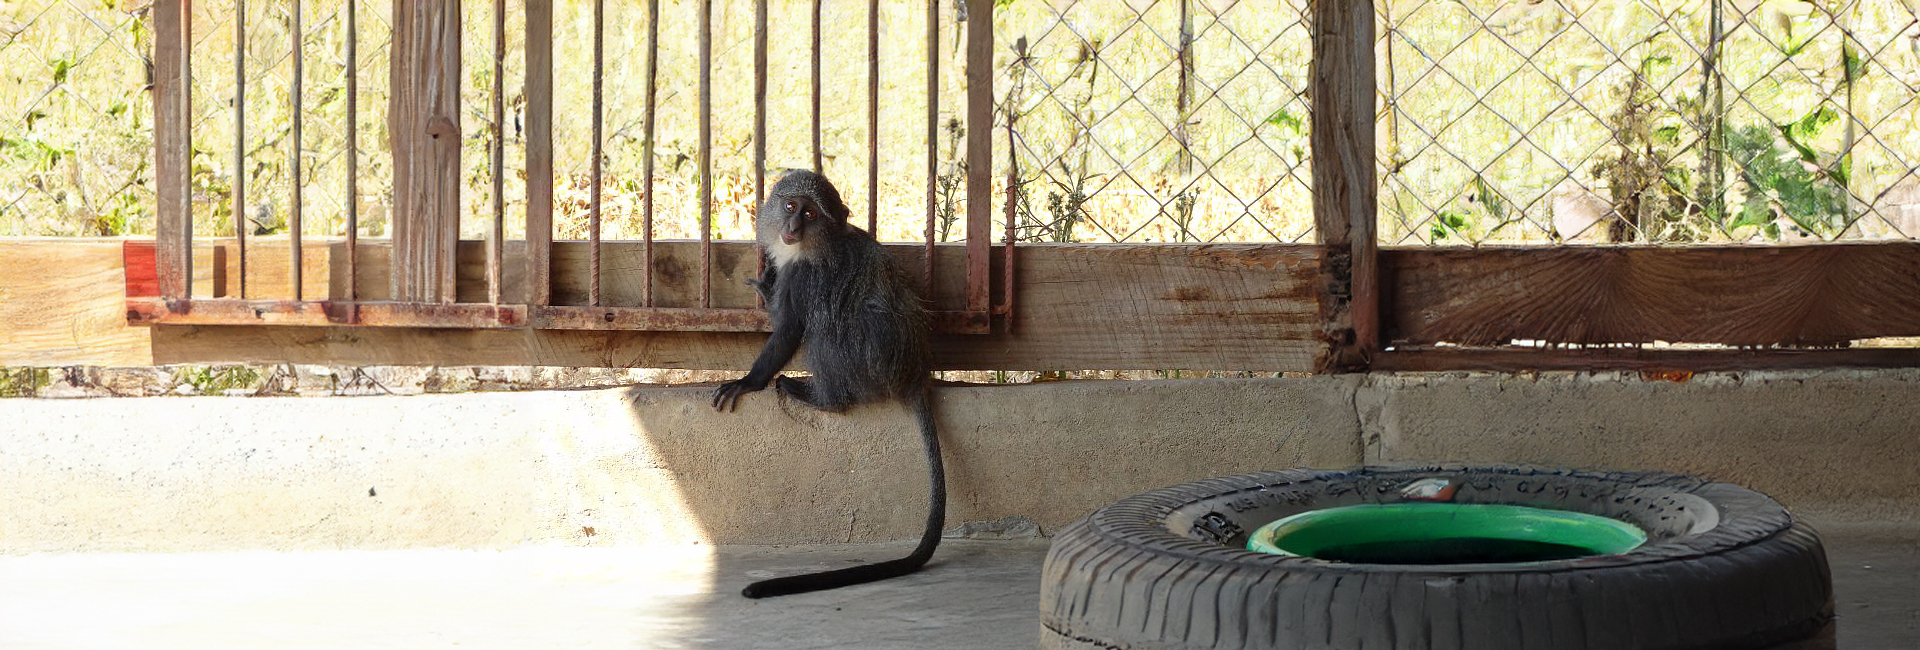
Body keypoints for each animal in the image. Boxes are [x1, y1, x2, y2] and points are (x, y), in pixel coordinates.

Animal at [711, 170, 945, 599]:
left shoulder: (804, 277)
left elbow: (789, 329)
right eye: (790, 206)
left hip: (868, 360)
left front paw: (748, 381)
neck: (813, 245)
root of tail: (913, 374)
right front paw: (766, 283)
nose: (792, 227)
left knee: (825, 328)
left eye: (810, 213)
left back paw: (823, 398)